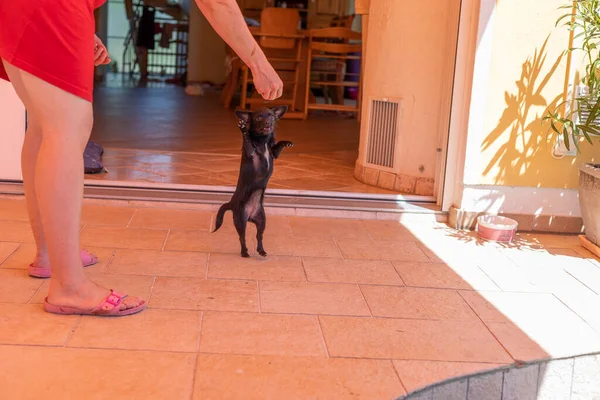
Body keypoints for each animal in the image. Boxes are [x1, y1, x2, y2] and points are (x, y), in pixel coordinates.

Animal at [213, 105, 292, 256]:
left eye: (271, 116)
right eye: (258, 117)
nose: (268, 123)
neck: (263, 140)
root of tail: (231, 203)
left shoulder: (274, 154)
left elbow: (277, 145)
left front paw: (286, 142)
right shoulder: (251, 153)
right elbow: (248, 140)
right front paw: (243, 129)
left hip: (262, 220)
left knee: (259, 236)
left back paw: (261, 250)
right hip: (240, 220)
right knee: (242, 237)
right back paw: (244, 252)